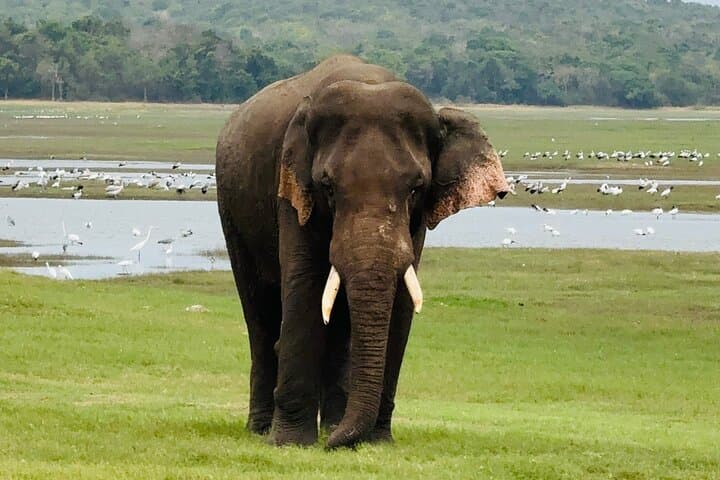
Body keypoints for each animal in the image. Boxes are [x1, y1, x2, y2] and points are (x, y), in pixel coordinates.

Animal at [216, 55, 509, 449]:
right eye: (327, 186)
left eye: (416, 187)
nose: (331, 444)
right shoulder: (291, 186)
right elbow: (305, 284)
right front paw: (291, 443)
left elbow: (401, 300)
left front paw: (376, 441)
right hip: (231, 209)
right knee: (258, 312)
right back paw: (266, 429)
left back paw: (331, 423)